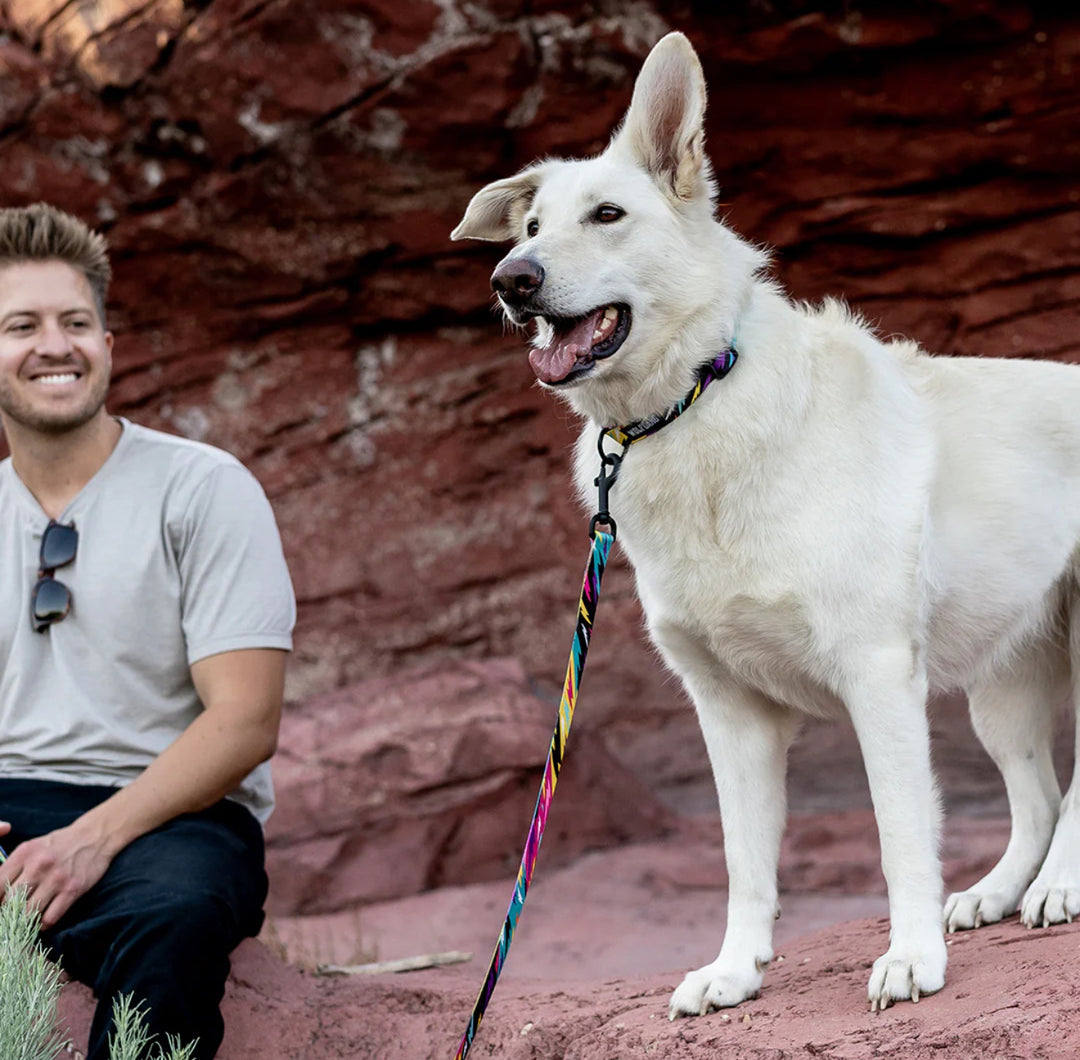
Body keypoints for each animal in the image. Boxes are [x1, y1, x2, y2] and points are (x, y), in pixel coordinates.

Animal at [449, 28, 1080, 1011]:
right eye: (530, 229)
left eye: (606, 215)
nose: (511, 280)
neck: (693, 406)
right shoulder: (729, 710)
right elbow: (744, 859)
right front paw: (735, 970)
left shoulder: (877, 677)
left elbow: (900, 838)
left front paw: (912, 959)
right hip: (1001, 680)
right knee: (1040, 795)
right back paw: (1002, 892)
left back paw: (1056, 886)